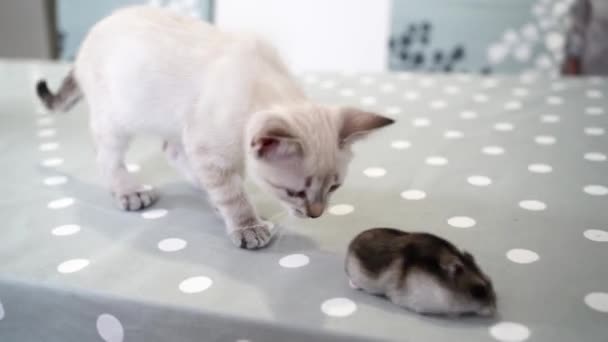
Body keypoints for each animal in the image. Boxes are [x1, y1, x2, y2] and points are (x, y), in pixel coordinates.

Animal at [36, 6, 394, 250]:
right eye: (294, 192)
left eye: (334, 188)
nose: (317, 214)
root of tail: (91, 35)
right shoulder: (210, 148)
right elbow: (233, 196)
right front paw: (248, 227)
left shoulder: (204, 143)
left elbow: (224, 186)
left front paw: (230, 205)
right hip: (117, 120)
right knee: (108, 158)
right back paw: (130, 191)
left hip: (174, 120)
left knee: (172, 150)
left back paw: (199, 186)